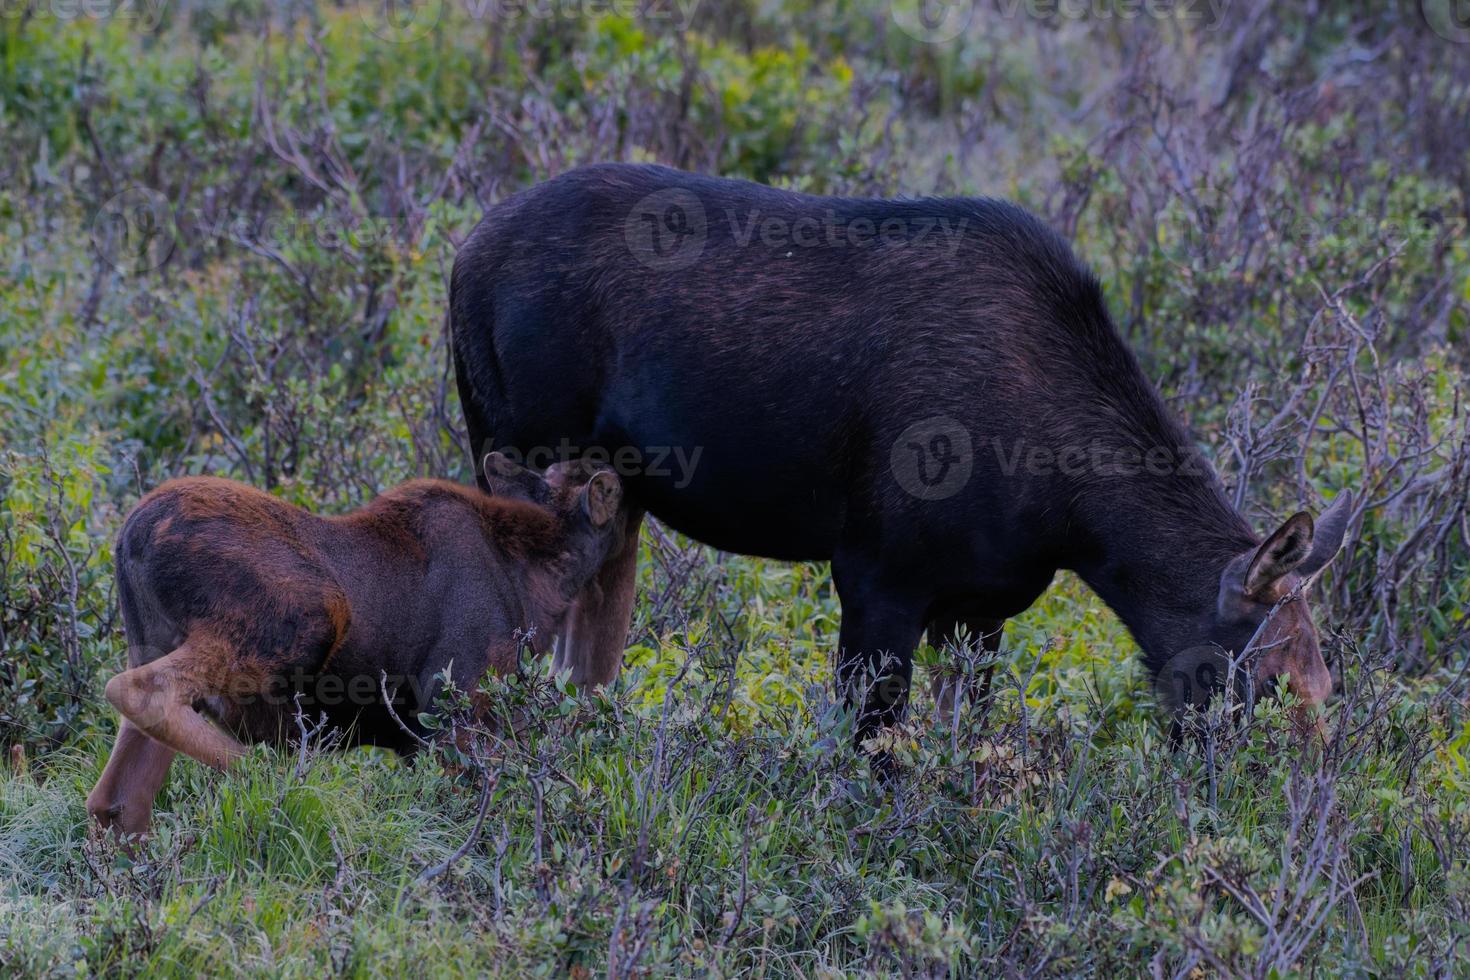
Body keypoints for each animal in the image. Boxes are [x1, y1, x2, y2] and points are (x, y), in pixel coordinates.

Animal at [85, 455, 626, 840]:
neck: (538, 581)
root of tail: (129, 538)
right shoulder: (456, 705)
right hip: (299, 617)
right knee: (140, 691)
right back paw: (288, 781)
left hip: (152, 639)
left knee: (114, 798)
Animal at [449, 166, 1352, 752]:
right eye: (1273, 682)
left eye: (1328, 685)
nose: (1304, 804)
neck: (1079, 522)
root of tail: (460, 258)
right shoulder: (876, 572)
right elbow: (868, 747)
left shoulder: (981, 604)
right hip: (514, 445)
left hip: (614, 492)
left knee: (587, 655)